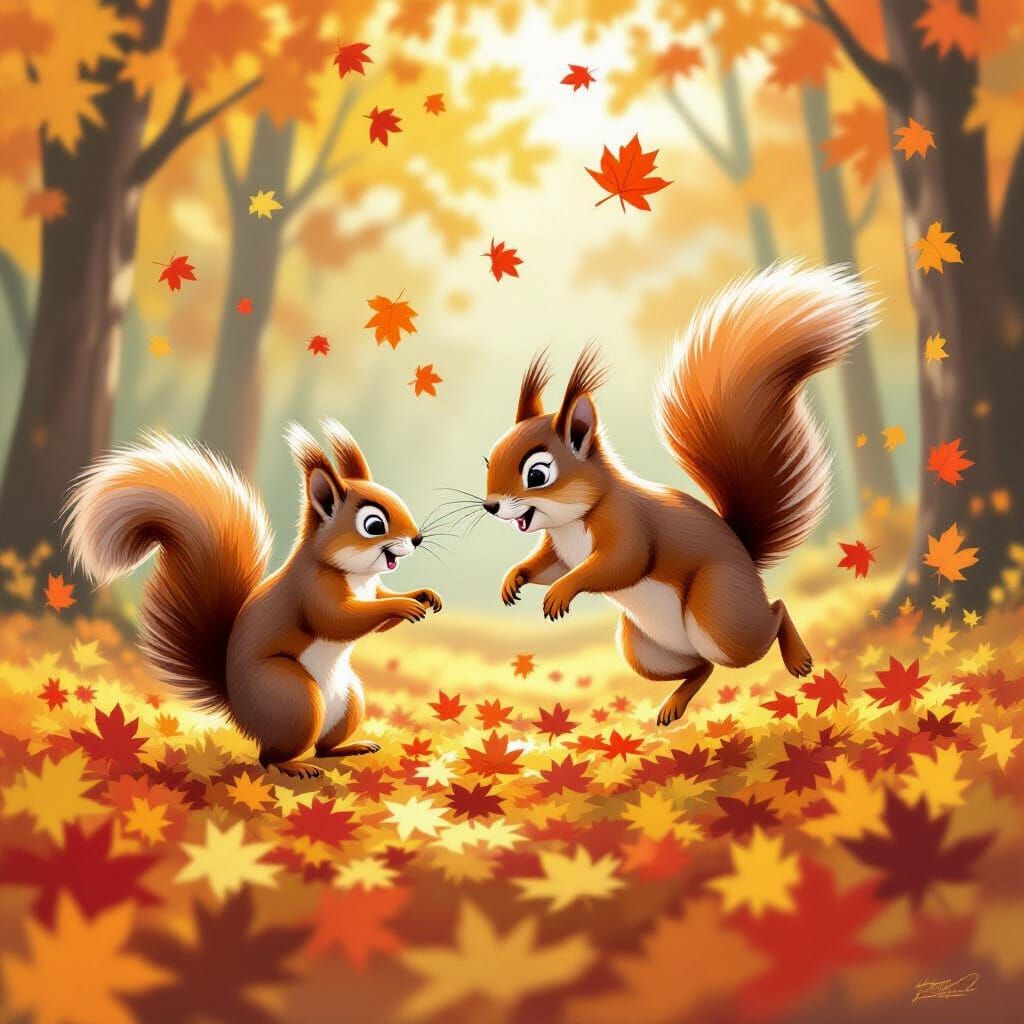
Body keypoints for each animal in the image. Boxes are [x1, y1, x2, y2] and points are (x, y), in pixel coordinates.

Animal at [64, 421, 442, 778]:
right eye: (374, 525)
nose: (418, 538)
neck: (355, 575)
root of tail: (242, 713)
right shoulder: (312, 589)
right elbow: (338, 620)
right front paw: (403, 606)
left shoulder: (371, 589)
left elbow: (377, 613)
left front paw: (424, 595)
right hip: (293, 697)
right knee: (268, 757)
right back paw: (294, 766)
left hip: (350, 699)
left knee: (322, 747)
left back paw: (349, 747)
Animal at [481, 261, 876, 726]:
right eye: (488, 459)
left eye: (538, 473)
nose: (490, 506)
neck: (574, 519)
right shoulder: (559, 549)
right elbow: (547, 566)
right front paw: (514, 578)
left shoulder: (628, 525)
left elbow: (619, 563)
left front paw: (561, 592)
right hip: (641, 648)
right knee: (701, 668)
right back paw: (673, 705)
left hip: (720, 613)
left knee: (773, 614)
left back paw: (796, 657)